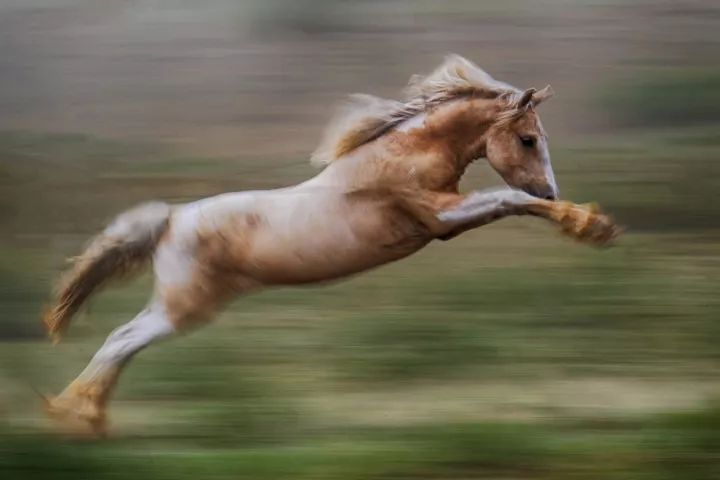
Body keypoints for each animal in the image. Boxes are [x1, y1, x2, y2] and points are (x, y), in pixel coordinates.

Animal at [42, 55, 620, 436]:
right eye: (528, 139)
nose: (551, 191)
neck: (403, 155)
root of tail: (172, 220)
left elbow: (506, 201)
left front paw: (590, 223)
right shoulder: (440, 216)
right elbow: (506, 198)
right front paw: (590, 224)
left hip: (180, 304)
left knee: (122, 343)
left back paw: (84, 414)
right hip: (183, 306)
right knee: (120, 338)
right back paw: (76, 415)